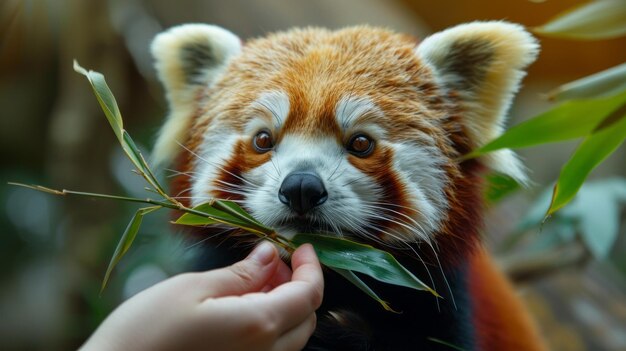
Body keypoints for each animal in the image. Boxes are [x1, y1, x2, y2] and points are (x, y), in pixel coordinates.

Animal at [151, 23, 544, 350]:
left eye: (360, 143)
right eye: (263, 139)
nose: (302, 187)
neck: (336, 273)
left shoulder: (445, 301)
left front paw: (342, 332)